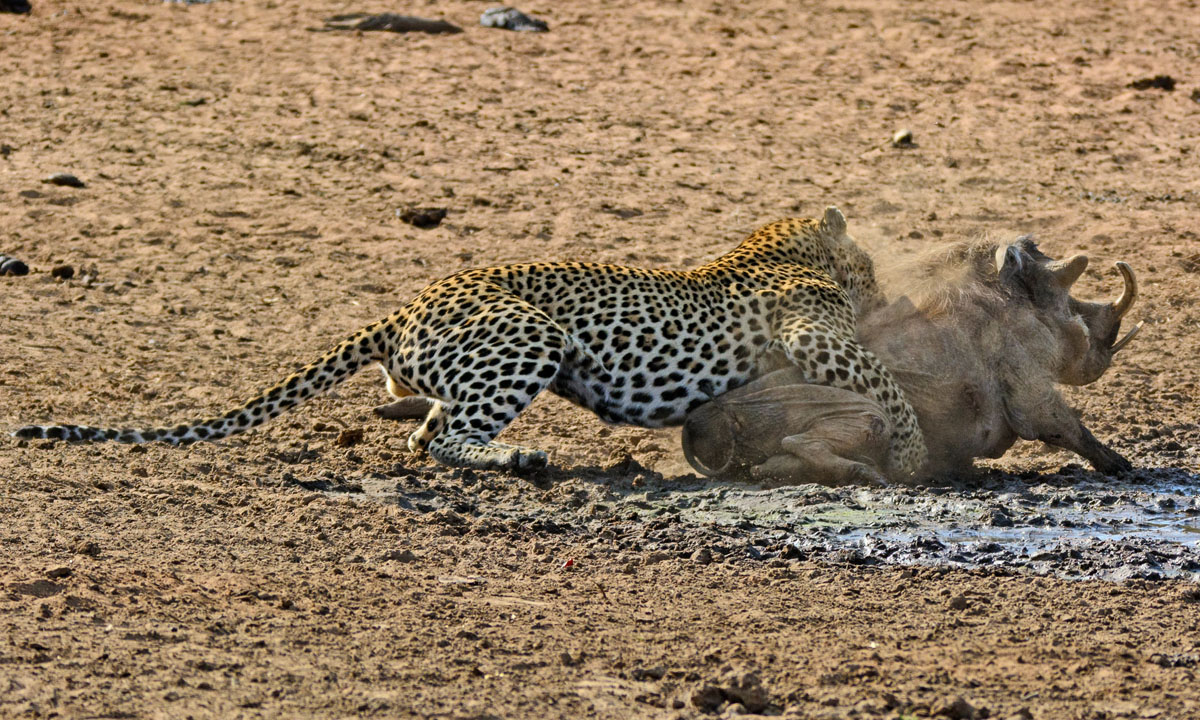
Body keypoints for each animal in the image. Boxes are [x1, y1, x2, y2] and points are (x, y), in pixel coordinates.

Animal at [13, 207, 928, 480]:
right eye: (867, 265)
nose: (882, 288)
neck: (778, 245)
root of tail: (402, 308)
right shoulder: (814, 334)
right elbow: (884, 380)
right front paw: (916, 455)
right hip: (529, 335)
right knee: (449, 437)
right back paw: (520, 459)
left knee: (424, 429)